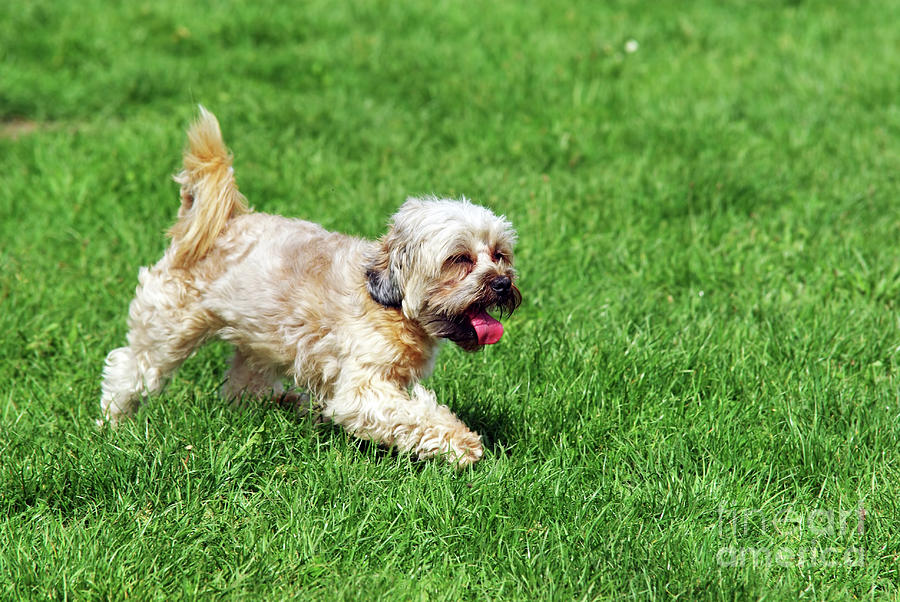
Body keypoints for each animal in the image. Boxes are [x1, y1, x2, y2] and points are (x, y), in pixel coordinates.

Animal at [99, 106, 524, 464]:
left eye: (499, 254)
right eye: (460, 259)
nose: (502, 284)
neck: (390, 304)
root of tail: (218, 223)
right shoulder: (362, 389)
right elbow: (412, 416)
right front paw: (463, 443)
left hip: (259, 342)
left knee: (242, 390)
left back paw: (289, 402)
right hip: (168, 327)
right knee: (130, 369)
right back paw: (112, 425)